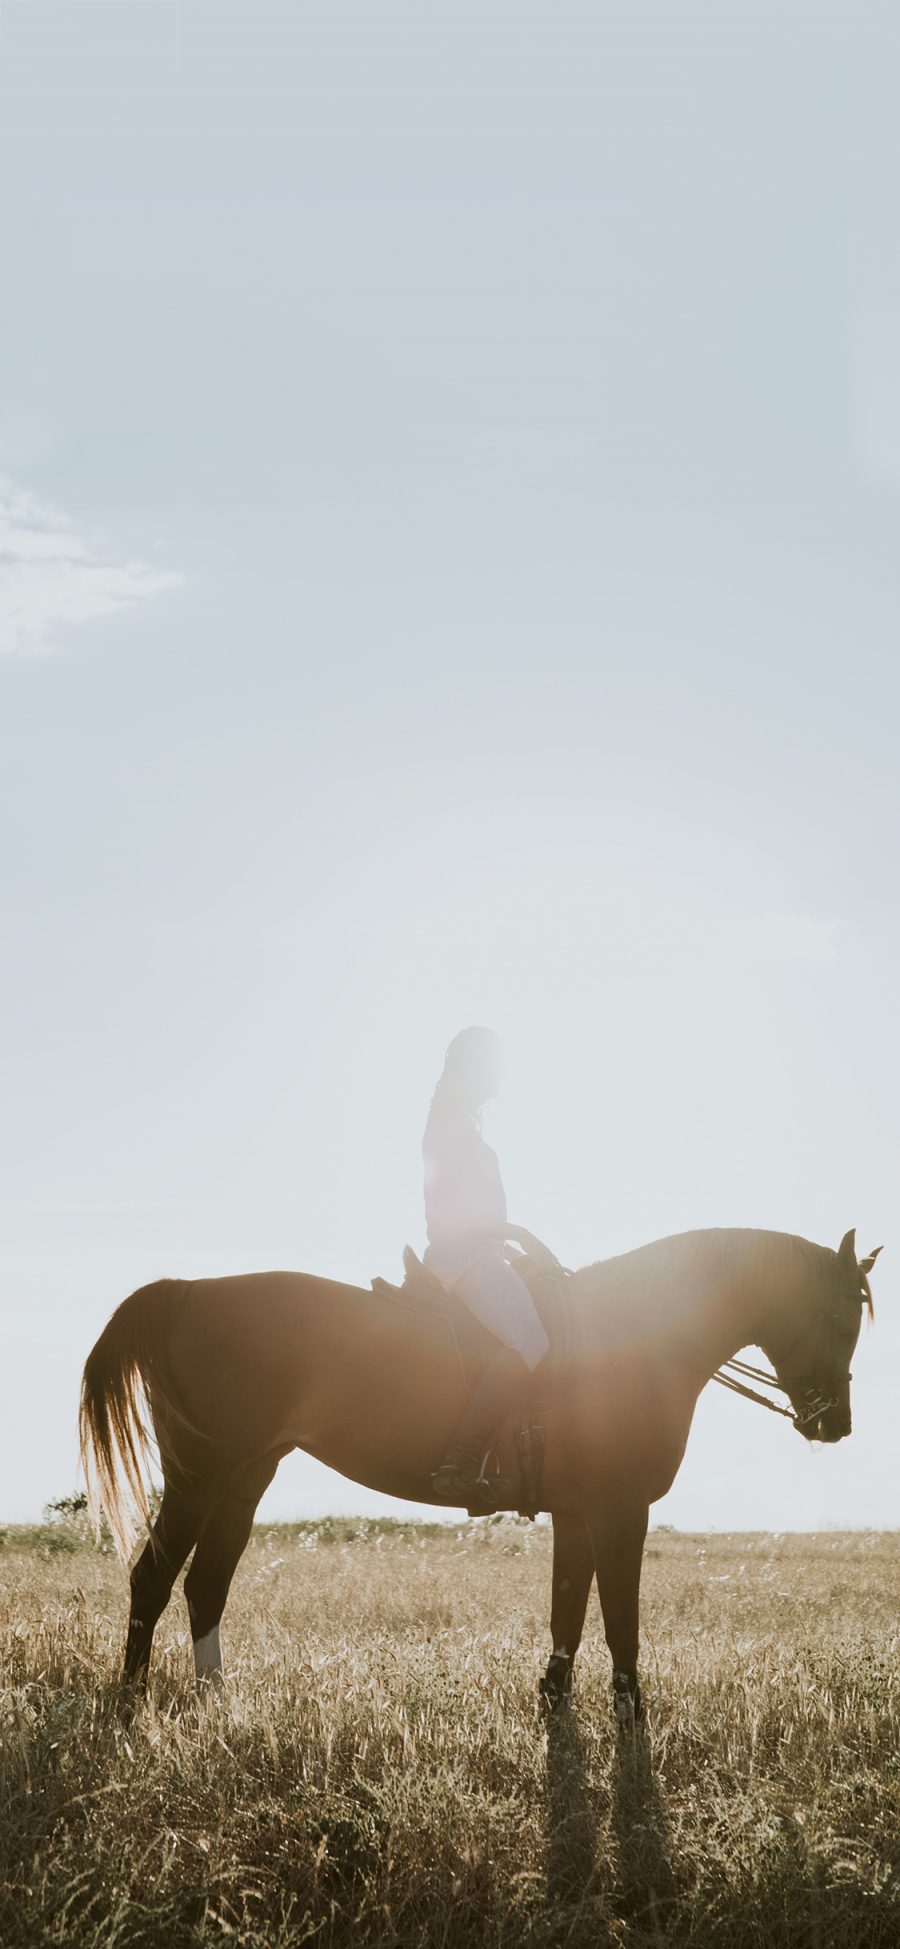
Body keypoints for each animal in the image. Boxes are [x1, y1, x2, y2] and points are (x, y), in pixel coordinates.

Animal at [77, 1223, 880, 1730]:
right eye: (844, 1319)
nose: (833, 1424)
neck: (633, 1335)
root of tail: (187, 1290)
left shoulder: (577, 1512)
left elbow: (568, 1611)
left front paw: (554, 1704)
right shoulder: (619, 1509)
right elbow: (620, 1620)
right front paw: (631, 1719)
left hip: (245, 1477)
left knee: (206, 1583)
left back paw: (217, 1703)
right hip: (200, 1476)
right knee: (153, 1576)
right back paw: (129, 1703)